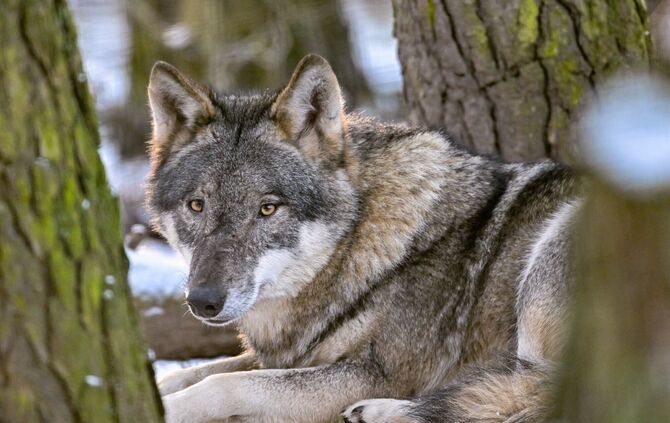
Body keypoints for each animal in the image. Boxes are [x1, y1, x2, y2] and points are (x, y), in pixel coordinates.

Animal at [145, 54, 580, 422]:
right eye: (197, 205)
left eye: (267, 209)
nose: (203, 301)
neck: (356, 245)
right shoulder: (294, 357)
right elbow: (187, 374)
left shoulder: (376, 373)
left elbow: (223, 384)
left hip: (550, 253)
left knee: (535, 390)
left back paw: (383, 412)